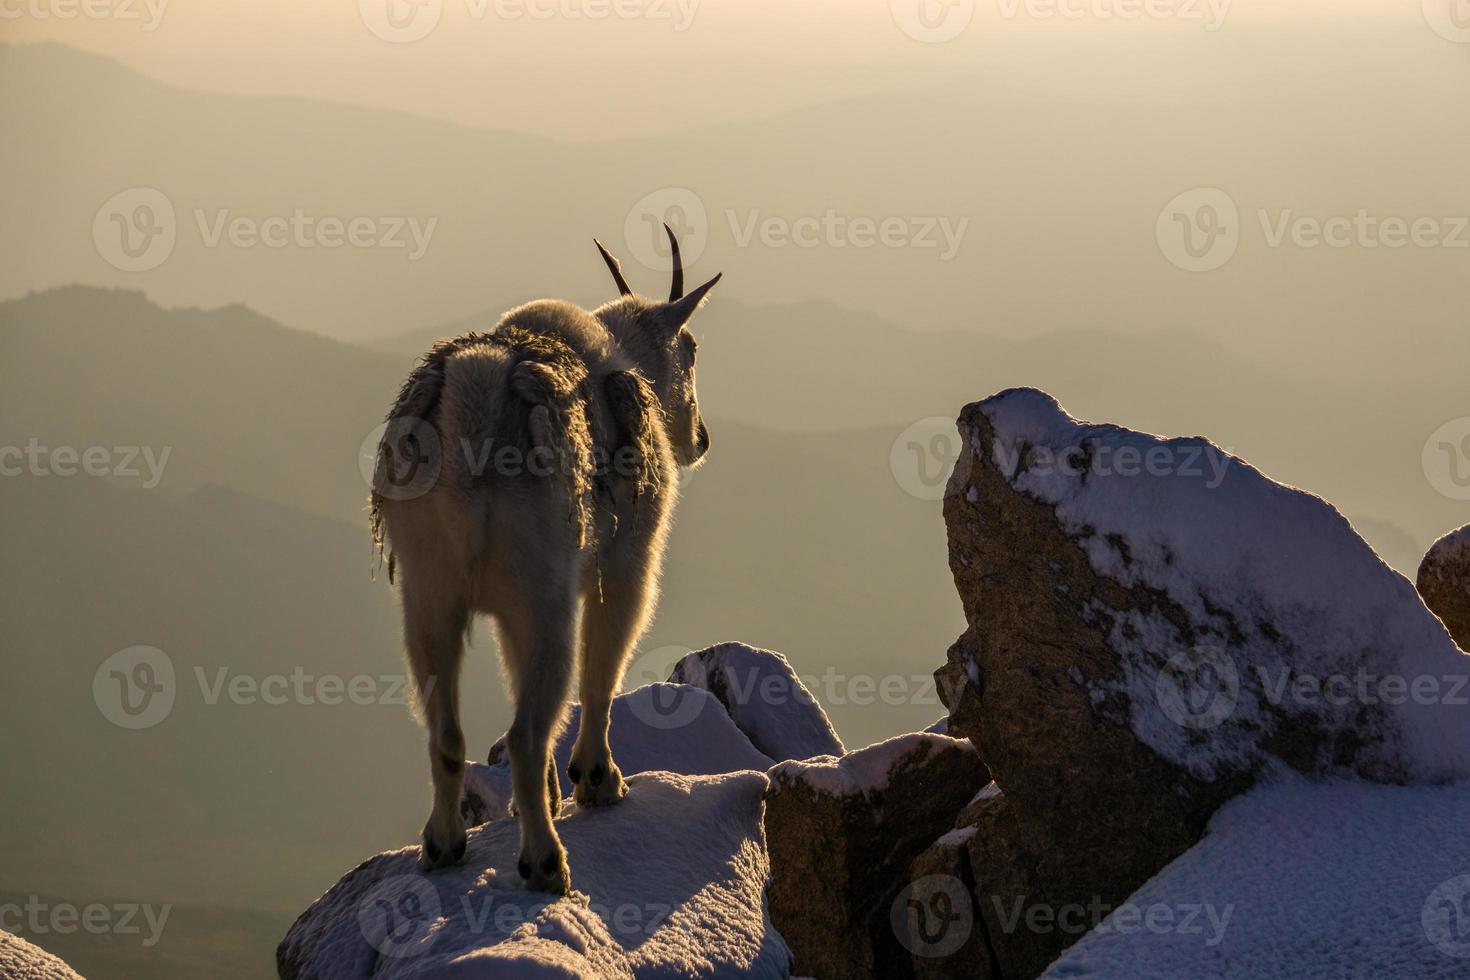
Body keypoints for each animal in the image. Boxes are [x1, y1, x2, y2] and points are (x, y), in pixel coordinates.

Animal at [370, 230, 720, 899]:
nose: (700, 439)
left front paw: (555, 795)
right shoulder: (626, 566)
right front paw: (598, 782)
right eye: (690, 349)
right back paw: (545, 862)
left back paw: (444, 844)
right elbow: (602, 669)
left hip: (428, 594)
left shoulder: (504, 613)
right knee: (528, 732)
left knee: (447, 731)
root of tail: (474, 410)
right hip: (545, 596)